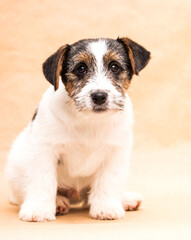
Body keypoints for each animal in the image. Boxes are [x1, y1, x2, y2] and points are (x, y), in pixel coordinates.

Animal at [5, 36, 151, 222]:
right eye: (81, 68)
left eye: (114, 66)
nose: (99, 96)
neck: (89, 121)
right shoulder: (44, 150)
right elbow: (43, 180)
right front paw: (39, 209)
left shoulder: (115, 153)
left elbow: (108, 181)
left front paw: (106, 207)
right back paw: (58, 202)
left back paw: (125, 199)